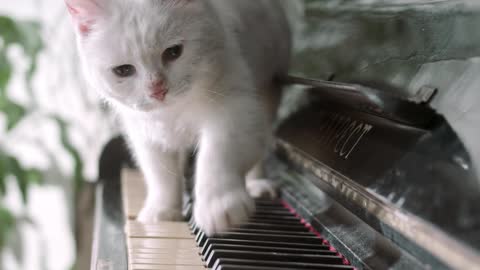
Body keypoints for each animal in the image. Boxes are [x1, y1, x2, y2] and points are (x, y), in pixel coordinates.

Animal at [65, 0, 290, 234]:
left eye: (173, 52)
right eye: (123, 70)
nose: (157, 90)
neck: (172, 112)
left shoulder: (235, 110)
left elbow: (217, 155)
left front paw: (218, 206)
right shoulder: (145, 134)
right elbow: (160, 176)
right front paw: (163, 211)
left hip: (266, 94)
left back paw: (258, 184)